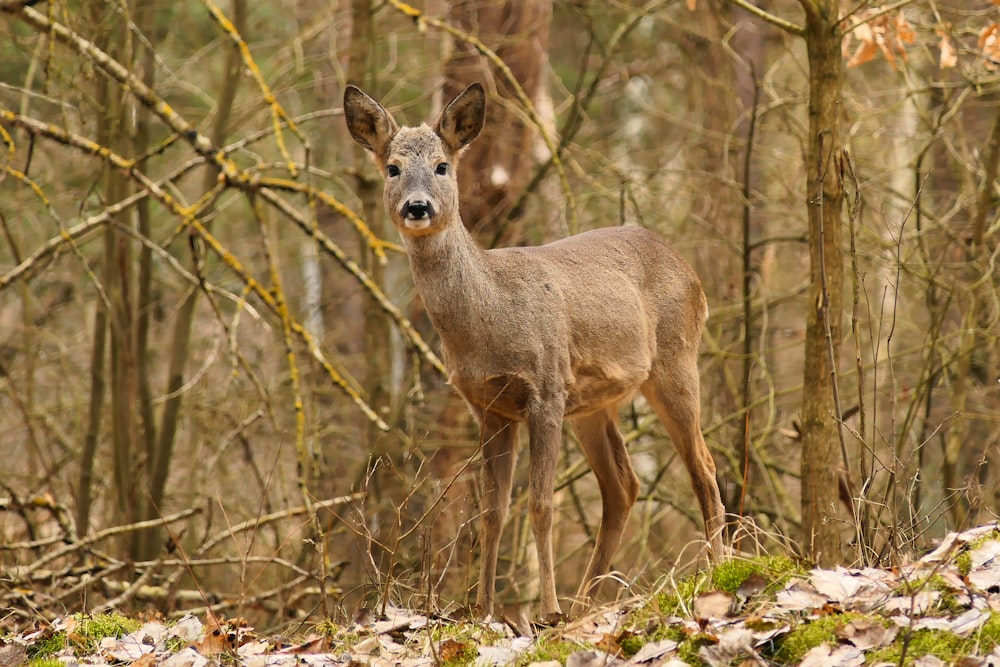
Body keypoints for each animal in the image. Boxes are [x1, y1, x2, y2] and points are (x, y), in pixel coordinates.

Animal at [344, 83, 728, 620]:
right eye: (392, 167)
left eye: (442, 165)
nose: (417, 207)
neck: (490, 318)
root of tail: (691, 274)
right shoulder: (488, 406)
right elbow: (491, 512)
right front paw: (482, 610)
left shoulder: (544, 390)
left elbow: (541, 506)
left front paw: (545, 609)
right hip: (592, 402)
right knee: (623, 486)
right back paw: (587, 599)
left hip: (674, 361)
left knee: (703, 466)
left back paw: (717, 571)